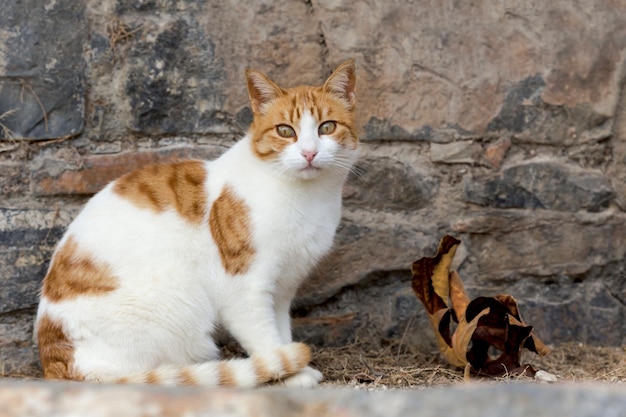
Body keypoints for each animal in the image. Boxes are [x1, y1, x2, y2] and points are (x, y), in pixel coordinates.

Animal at [34, 60, 356, 388]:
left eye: (327, 127)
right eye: (285, 131)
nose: (309, 152)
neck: (308, 197)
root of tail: (59, 363)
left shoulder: (283, 286)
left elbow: (281, 330)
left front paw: (293, 364)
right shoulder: (245, 287)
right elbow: (266, 338)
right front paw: (292, 374)